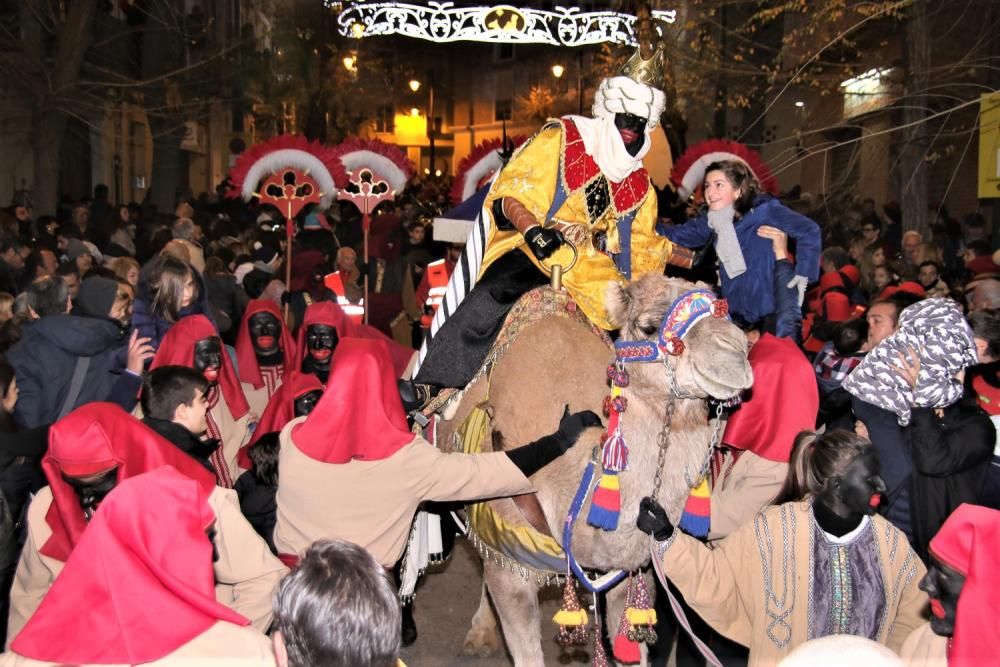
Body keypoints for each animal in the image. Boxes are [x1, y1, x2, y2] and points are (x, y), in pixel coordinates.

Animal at [438, 272, 752, 667]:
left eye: (724, 310)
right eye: (649, 326)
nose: (735, 351)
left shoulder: (631, 576)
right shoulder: (510, 567)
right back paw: (479, 634)